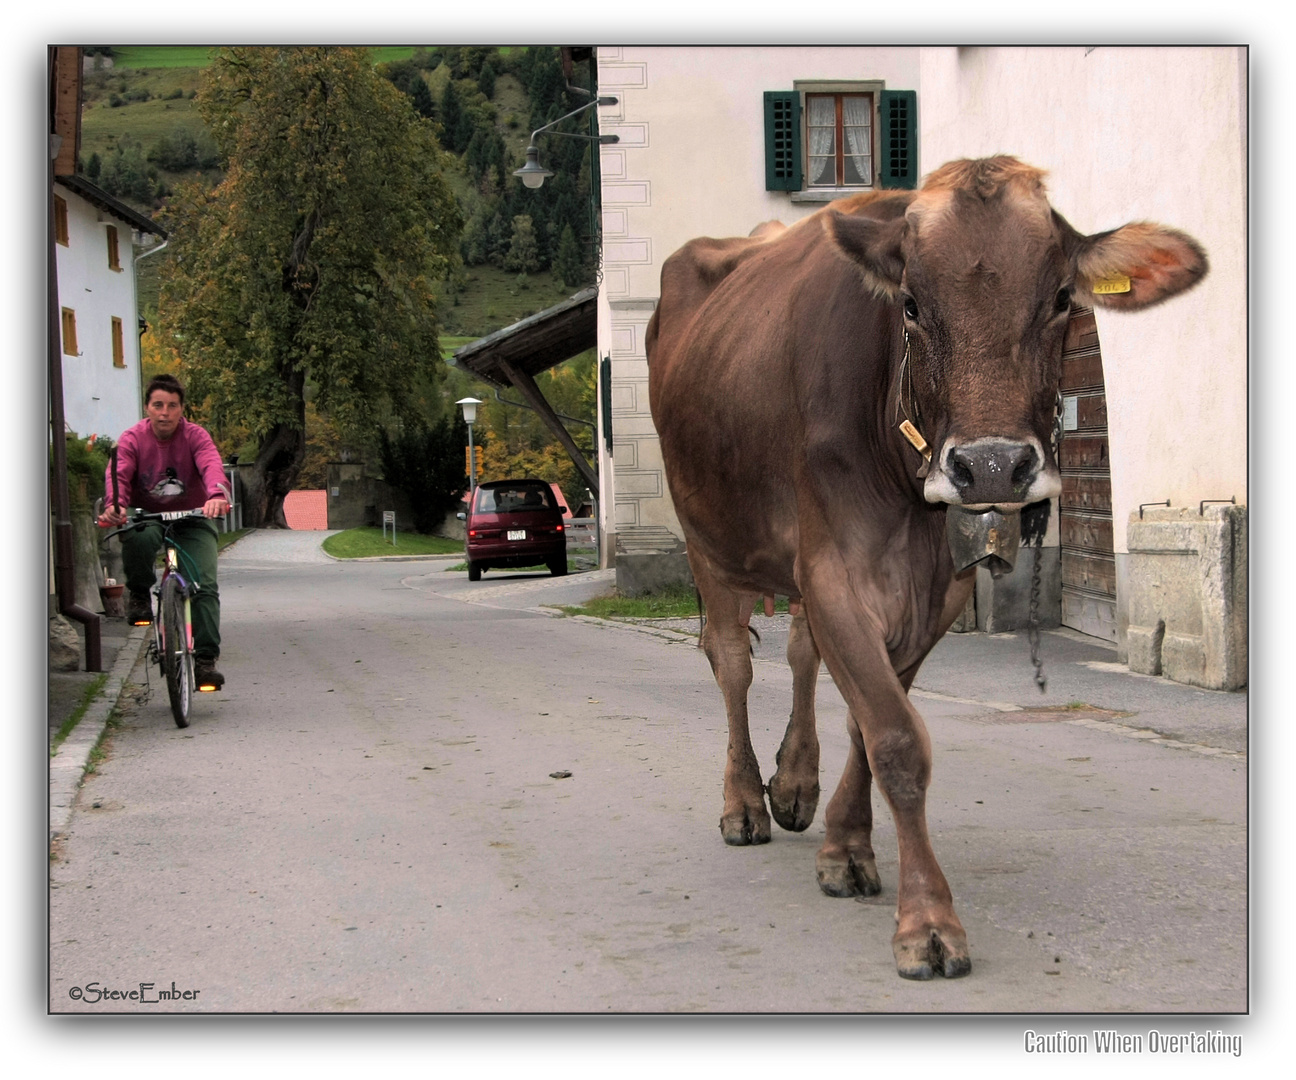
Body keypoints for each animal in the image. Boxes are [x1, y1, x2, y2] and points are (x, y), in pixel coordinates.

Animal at [645, 158, 1202, 974]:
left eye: (1061, 299)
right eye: (910, 305)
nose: (993, 465)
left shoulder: (934, 591)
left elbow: (869, 724)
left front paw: (845, 848)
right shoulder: (836, 573)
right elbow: (898, 740)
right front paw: (928, 922)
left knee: (801, 652)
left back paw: (794, 784)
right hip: (707, 539)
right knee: (731, 662)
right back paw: (745, 801)